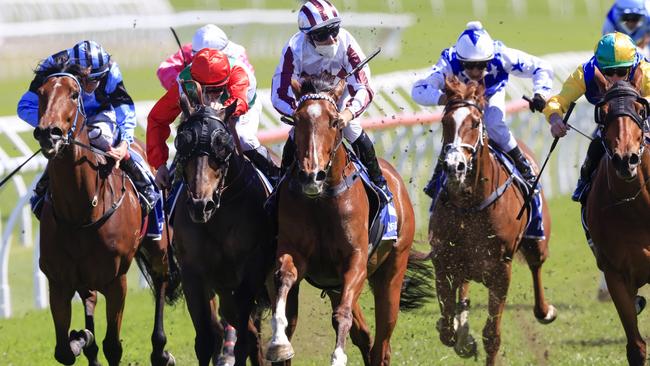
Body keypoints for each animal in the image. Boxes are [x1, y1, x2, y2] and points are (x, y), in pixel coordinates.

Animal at [34, 63, 178, 366]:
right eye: (41, 92)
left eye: (74, 94)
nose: (49, 133)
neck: (80, 213)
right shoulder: (59, 282)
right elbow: (64, 350)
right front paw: (80, 338)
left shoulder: (115, 281)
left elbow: (113, 346)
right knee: (89, 301)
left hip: (158, 247)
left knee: (161, 280)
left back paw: (160, 350)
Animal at [170, 89, 274, 366]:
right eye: (182, 142)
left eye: (223, 145)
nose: (200, 204)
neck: (219, 216)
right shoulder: (193, 274)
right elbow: (206, 340)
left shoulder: (250, 271)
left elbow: (243, 340)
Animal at [264, 74, 426, 366]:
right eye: (297, 119)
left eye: (333, 121)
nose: (311, 176)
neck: (321, 200)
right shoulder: (294, 252)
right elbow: (284, 279)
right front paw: (279, 342)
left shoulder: (356, 261)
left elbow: (342, 315)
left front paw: (338, 357)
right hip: (336, 285)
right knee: (365, 335)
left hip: (391, 273)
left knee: (382, 343)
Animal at [428, 77, 556, 366]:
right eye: (445, 122)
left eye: (475, 122)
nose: (454, 166)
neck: (470, 204)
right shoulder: (444, 260)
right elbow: (446, 327)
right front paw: (461, 337)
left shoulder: (500, 270)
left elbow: (492, 335)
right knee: (462, 291)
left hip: (537, 242)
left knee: (536, 265)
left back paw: (545, 311)